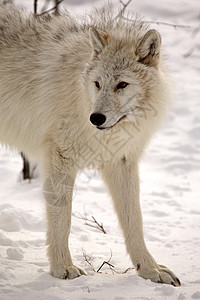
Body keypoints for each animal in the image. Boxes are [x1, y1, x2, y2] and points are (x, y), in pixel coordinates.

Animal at [0, 4, 181, 286]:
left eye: (122, 84)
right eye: (98, 84)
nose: (95, 118)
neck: (80, 94)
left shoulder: (122, 161)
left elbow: (135, 221)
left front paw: (150, 270)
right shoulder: (60, 157)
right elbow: (62, 219)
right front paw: (62, 267)